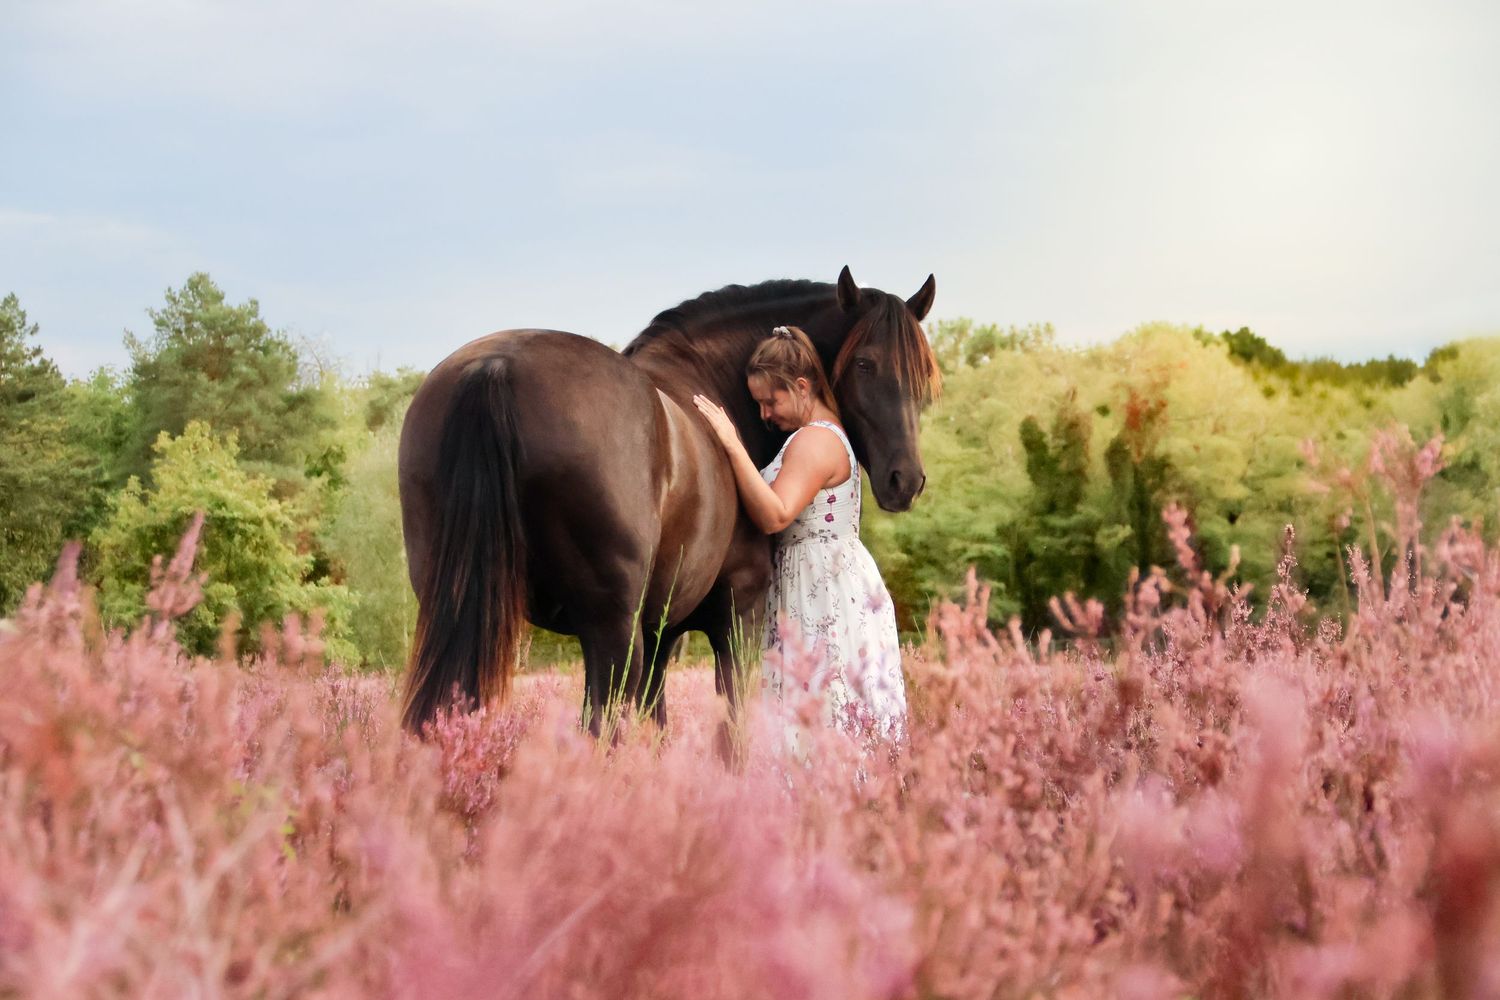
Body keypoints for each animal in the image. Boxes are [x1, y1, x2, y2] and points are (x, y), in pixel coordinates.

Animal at [397, 266, 940, 736]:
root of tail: (496, 367)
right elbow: (733, 731)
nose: (906, 479)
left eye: (923, 375)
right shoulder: (737, 617)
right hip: (612, 632)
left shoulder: (663, 634)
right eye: (865, 364)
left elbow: (657, 727)